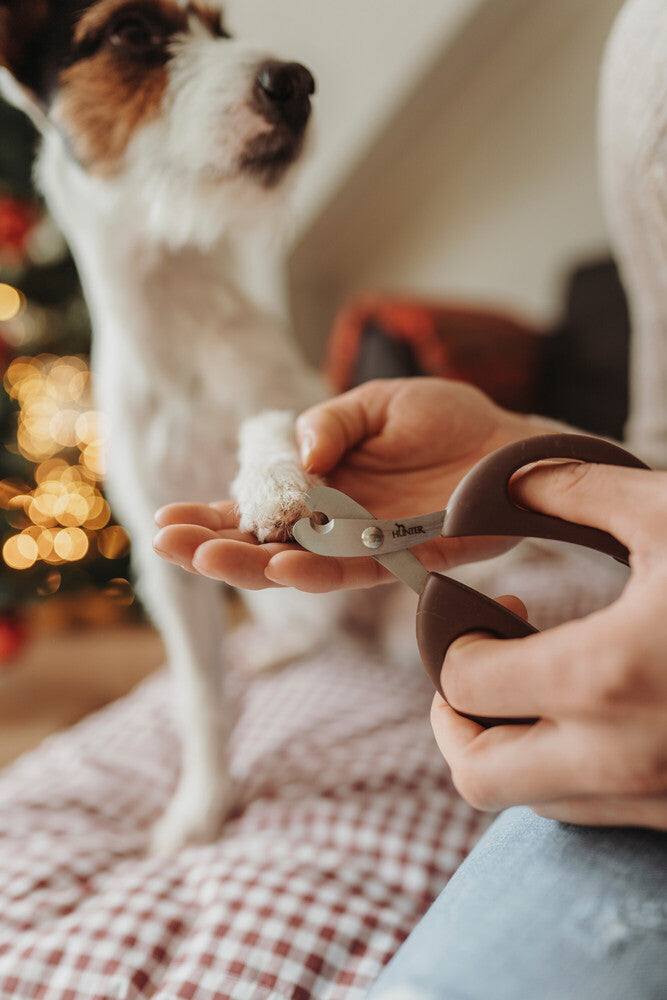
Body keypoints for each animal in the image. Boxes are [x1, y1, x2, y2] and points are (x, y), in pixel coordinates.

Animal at [0, 0, 344, 852]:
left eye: (222, 31)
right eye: (129, 33)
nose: (296, 82)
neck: (177, 298)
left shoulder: (300, 395)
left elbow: (270, 425)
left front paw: (270, 481)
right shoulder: (166, 567)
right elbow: (198, 695)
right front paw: (201, 807)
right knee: (304, 628)